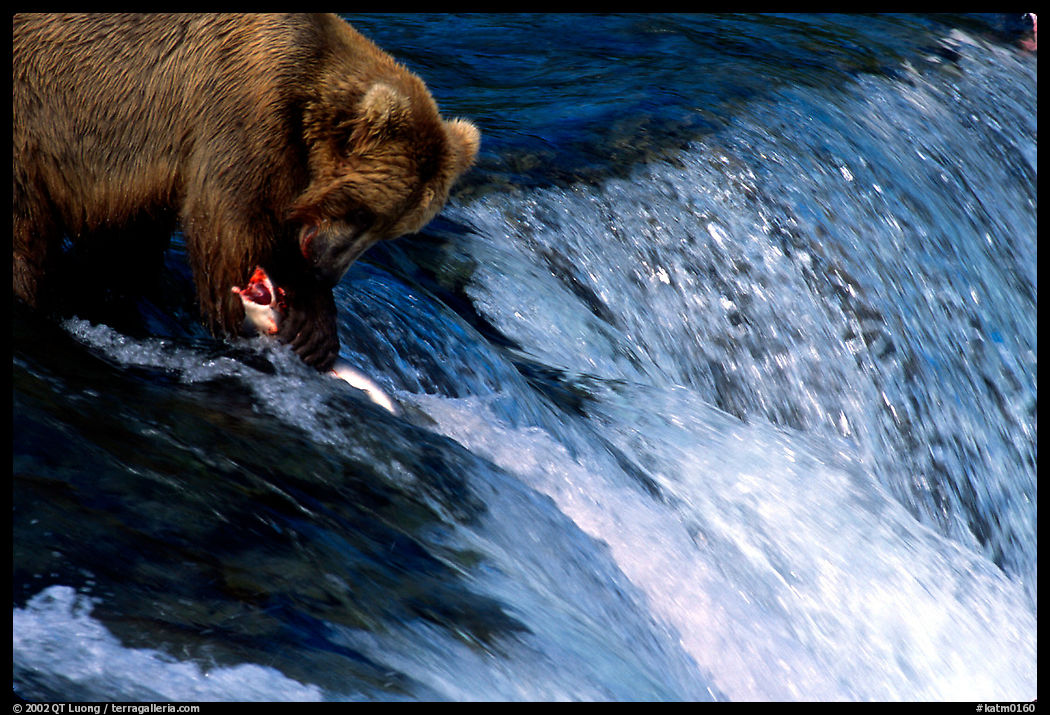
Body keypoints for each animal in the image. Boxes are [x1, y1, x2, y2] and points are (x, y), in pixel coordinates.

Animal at [13, 13, 480, 370]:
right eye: (363, 212)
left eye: (392, 231)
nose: (327, 271)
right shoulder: (242, 113)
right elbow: (232, 232)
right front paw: (291, 322)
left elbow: (127, 246)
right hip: (30, 129)